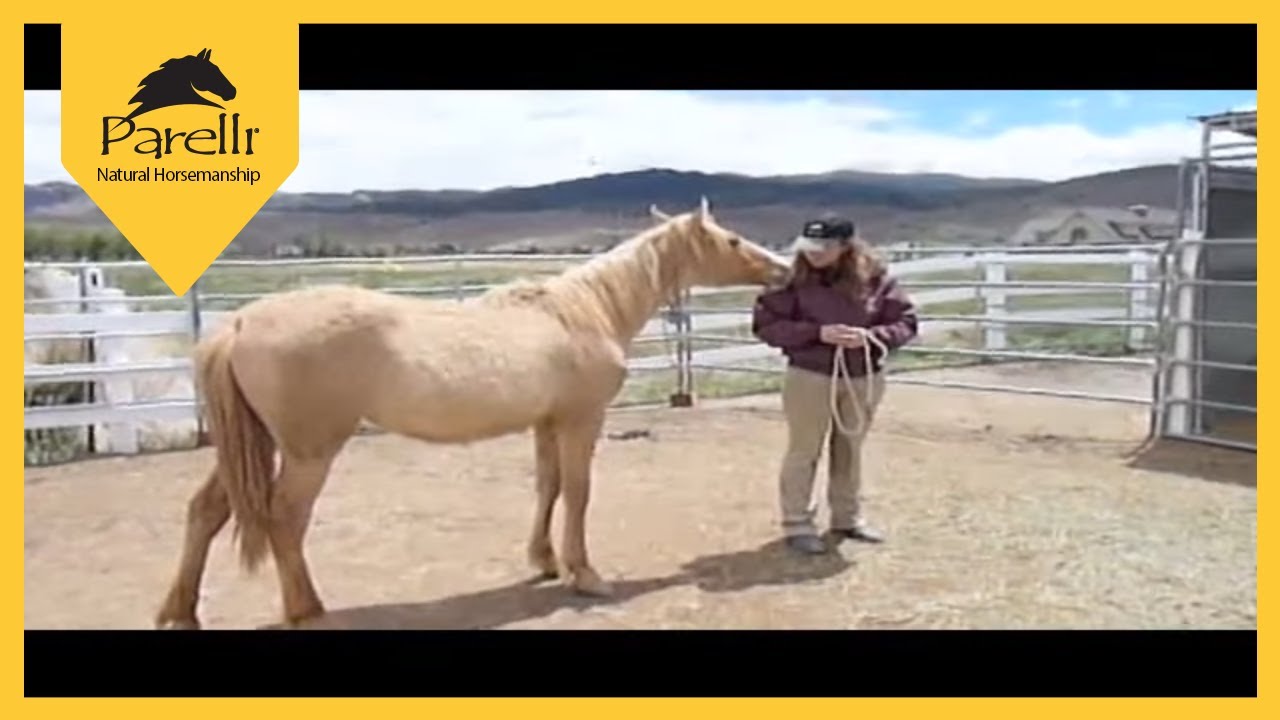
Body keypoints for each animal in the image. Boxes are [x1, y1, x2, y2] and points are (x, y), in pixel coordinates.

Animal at [153, 198, 793, 630]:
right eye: (733, 241)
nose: (784, 270)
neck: (585, 310)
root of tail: (239, 323)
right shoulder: (580, 420)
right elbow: (578, 492)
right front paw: (586, 576)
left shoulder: (547, 422)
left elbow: (548, 487)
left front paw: (544, 561)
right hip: (309, 450)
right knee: (285, 519)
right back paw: (308, 610)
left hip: (256, 443)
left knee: (205, 511)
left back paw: (181, 612)